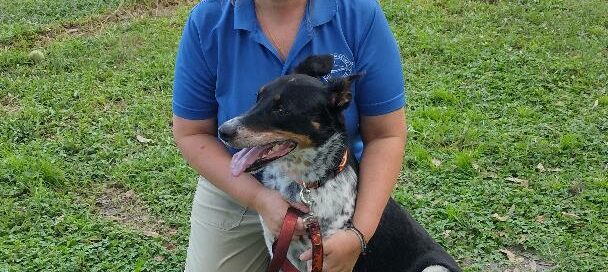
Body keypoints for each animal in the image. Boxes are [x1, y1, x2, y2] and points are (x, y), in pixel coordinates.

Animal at [218, 55, 460, 272]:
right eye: (257, 97)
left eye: (281, 109)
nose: (223, 131)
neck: (305, 185)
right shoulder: (279, 248)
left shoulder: (324, 259)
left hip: (435, 268)